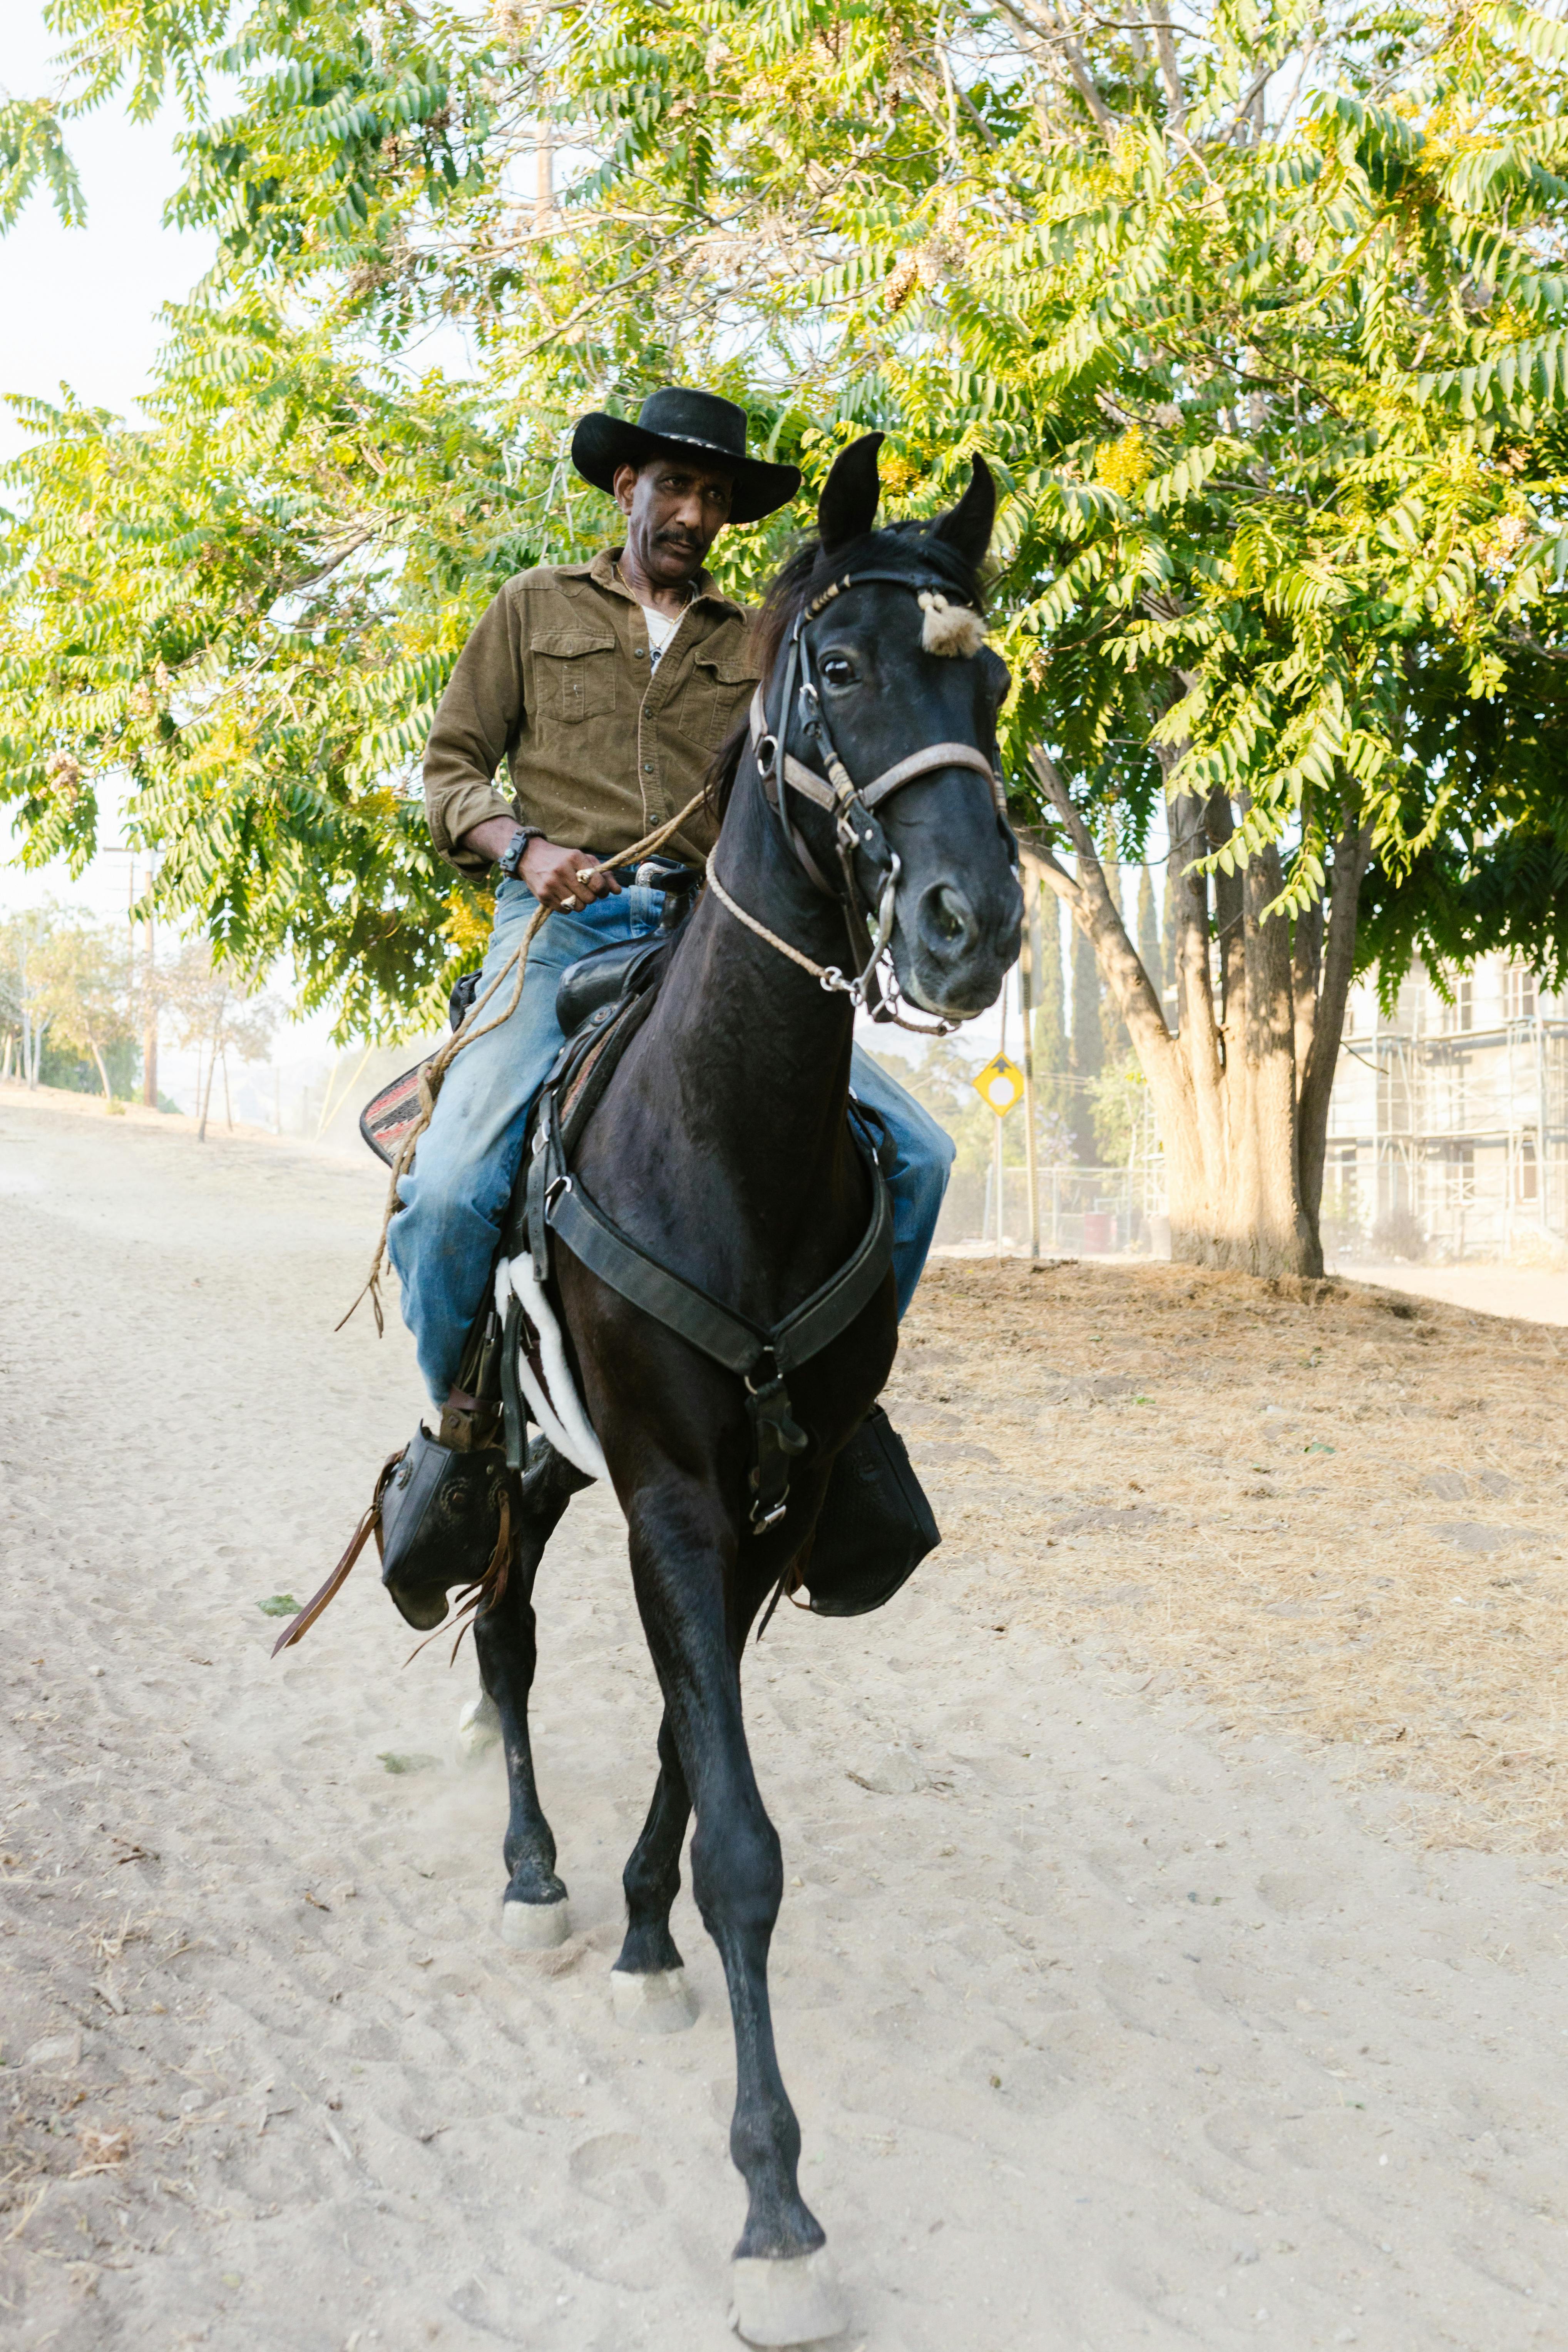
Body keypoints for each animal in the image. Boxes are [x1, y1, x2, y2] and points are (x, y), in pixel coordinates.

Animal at [421, 437, 1020, 2333]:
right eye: (836, 667)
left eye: (991, 680)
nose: (970, 925)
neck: (725, 1141)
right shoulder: (667, 1494)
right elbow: (744, 1837)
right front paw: (775, 2205)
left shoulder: (774, 1500)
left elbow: (702, 1757)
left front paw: (644, 1927)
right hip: (524, 1458)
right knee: (506, 1638)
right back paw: (529, 1876)